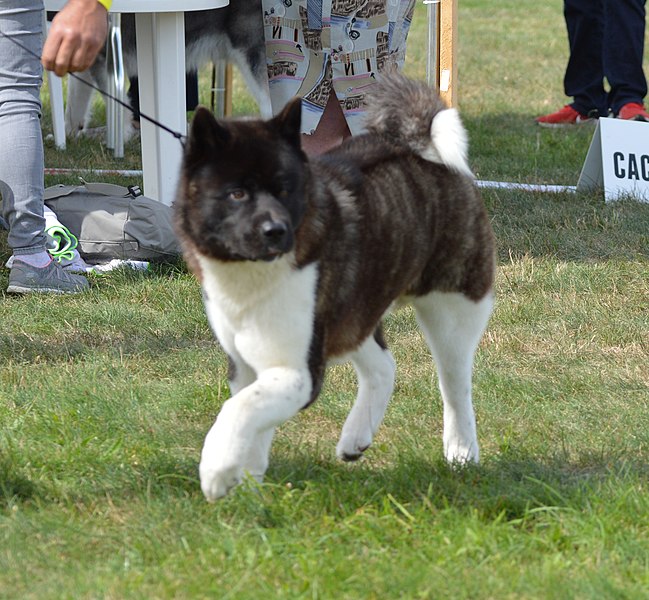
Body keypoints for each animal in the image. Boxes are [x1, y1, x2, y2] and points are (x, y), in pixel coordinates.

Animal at [173, 72, 496, 500]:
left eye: (285, 189)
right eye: (237, 193)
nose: (277, 231)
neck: (253, 274)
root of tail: (417, 145)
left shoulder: (301, 371)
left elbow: (239, 409)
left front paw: (217, 472)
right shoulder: (246, 363)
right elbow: (253, 415)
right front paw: (250, 484)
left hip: (453, 309)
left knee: (455, 384)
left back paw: (461, 451)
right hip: (355, 305)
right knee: (383, 367)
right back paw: (356, 437)